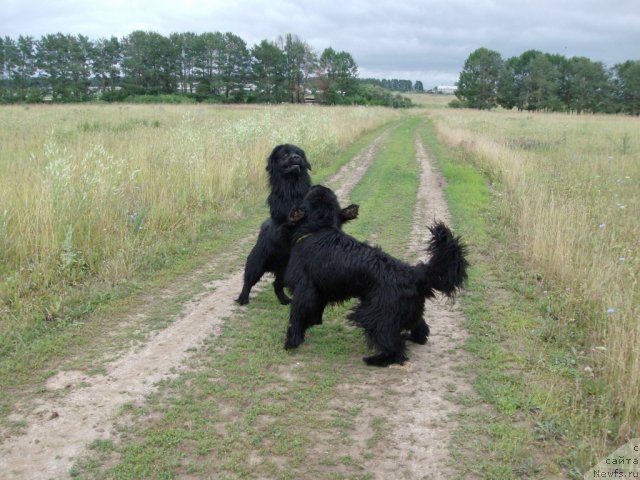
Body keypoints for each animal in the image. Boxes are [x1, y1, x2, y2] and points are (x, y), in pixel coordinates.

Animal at [282, 186, 468, 366]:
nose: (318, 185)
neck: (319, 228)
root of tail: (414, 273)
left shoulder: (304, 288)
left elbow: (297, 315)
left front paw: (292, 341)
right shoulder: (320, 290)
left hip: (373, 316)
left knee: (396, 350)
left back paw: (376, 359)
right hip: (405, 310)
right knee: (420, 328)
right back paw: (412, 337)